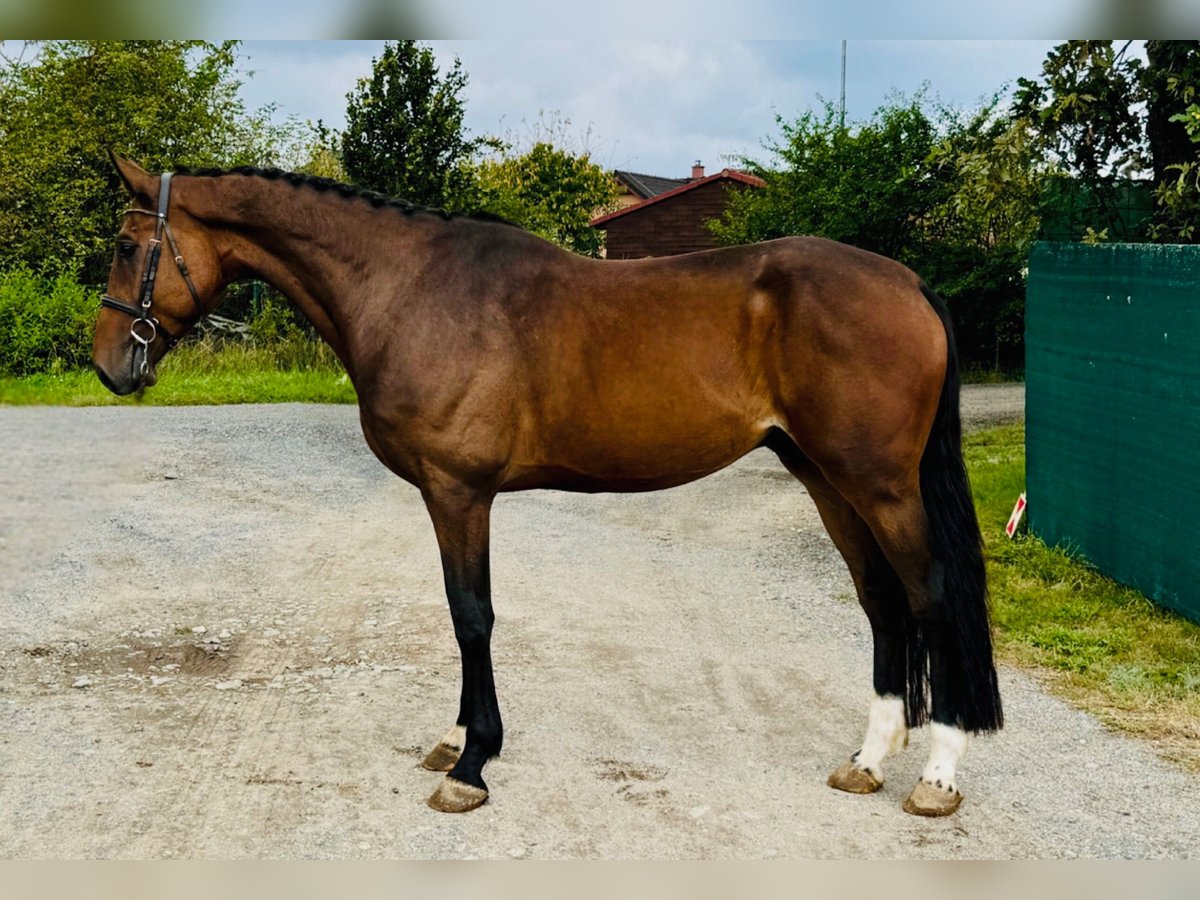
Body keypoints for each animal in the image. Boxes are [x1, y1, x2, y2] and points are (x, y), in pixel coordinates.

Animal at [93, 158, 998, 820]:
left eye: (130, 248)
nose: (108, 365)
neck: (410, 289)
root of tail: (908, 284)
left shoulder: (459, 492)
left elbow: (473, 615)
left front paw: (472, 764)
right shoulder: (452, 496)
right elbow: (462, 616)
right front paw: (456, 738)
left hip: (879, 486)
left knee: (930, 599)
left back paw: (938, 777)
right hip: (825, 478)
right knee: (882, 603)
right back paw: (869, 760)